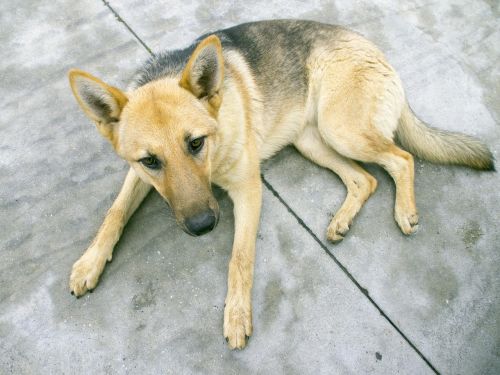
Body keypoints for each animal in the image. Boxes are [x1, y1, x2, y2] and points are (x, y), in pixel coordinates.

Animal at [68, 19, 494, 350]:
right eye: (151, 161)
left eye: (196, 143)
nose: (203, 227)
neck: (216, 145)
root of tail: (375, 49)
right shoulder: (136, 175)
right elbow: (115, 212)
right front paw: (89, 262)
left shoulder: (247, 190)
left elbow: (240, 258)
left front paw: (237, 315)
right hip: (311, 141)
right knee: (365, 178)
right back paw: (342, 219)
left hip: (340, 130)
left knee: (401, 160)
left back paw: (404, 210)